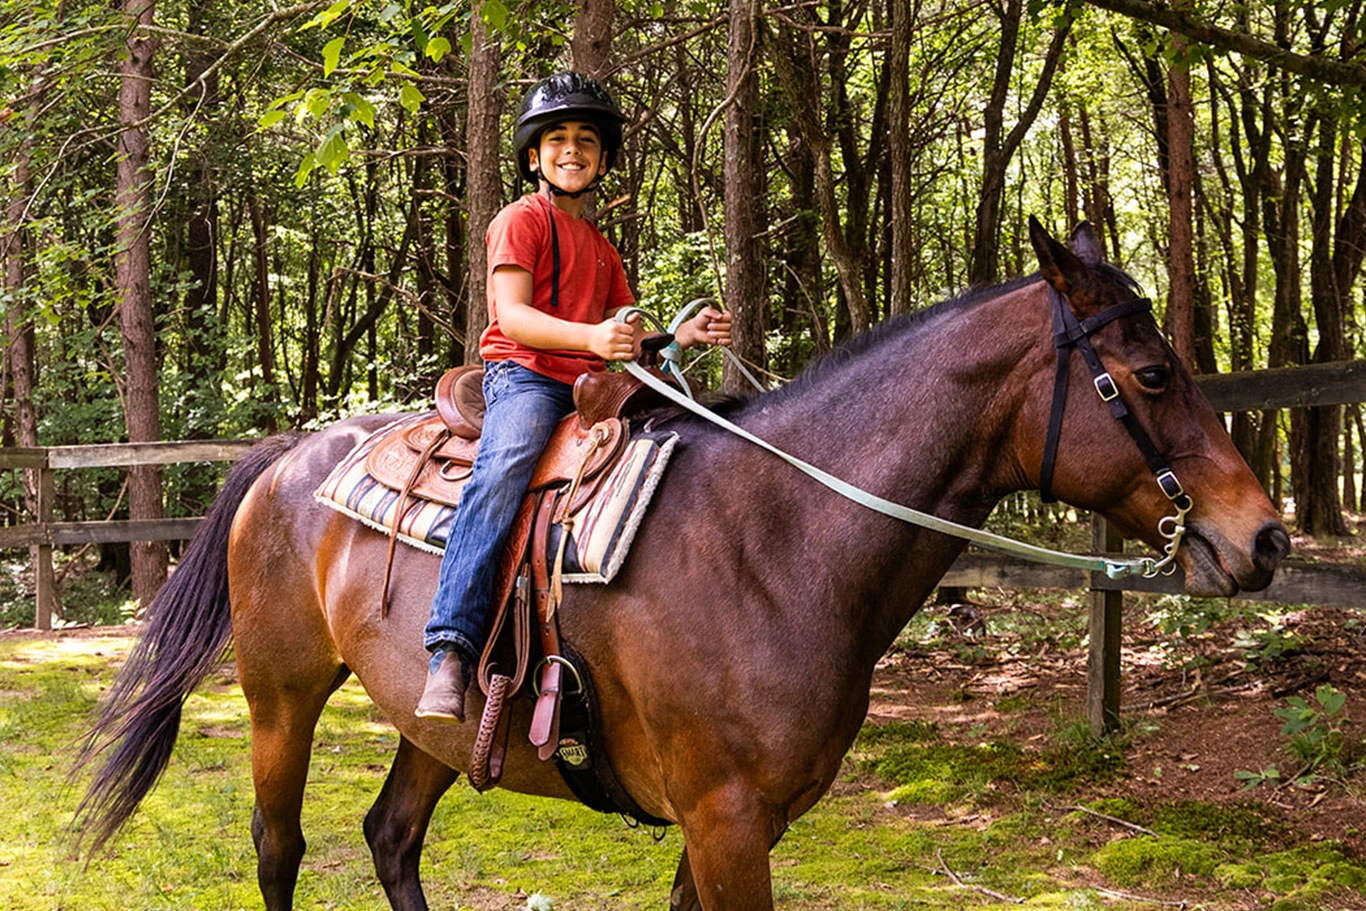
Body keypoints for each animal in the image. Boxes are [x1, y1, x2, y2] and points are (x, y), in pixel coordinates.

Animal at [74, 220, 1289, 911]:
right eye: (1150, 372)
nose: (1265, 537)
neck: (779, 541)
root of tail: (285, 454)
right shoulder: (727, 816)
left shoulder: (746, 820)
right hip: (280, 695)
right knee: (279, 847)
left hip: (435, 717)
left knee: (391, 836)